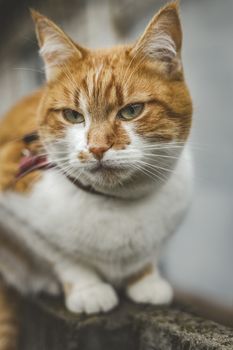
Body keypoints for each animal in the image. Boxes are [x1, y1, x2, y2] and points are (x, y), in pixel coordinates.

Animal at [0, 0, 192, 320]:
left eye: (132, 111)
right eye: (73, 115)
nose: (98, 148)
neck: (116, 204)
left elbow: (147, 256)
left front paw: (146, 280)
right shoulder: (16, 211)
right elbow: (61, 257)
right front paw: (88, 290)